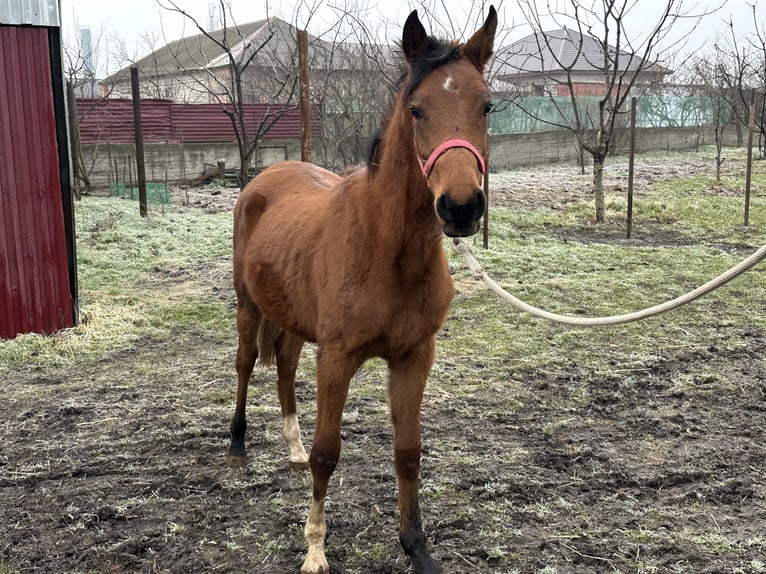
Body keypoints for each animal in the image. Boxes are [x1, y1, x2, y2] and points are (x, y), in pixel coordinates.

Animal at [227, 7, 497, 573]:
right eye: (416, 110)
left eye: (487, 105)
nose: (461, 207)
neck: (386, 250)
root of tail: (263, 179)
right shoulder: (337, 358)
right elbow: (328, 453)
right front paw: (314, 549)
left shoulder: (414, 357)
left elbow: (408, 452)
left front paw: (417, 548)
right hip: (247, 304)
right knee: (245, 363)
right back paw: (237, 445)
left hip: (291, 317)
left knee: (284, 365)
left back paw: (290, 446)